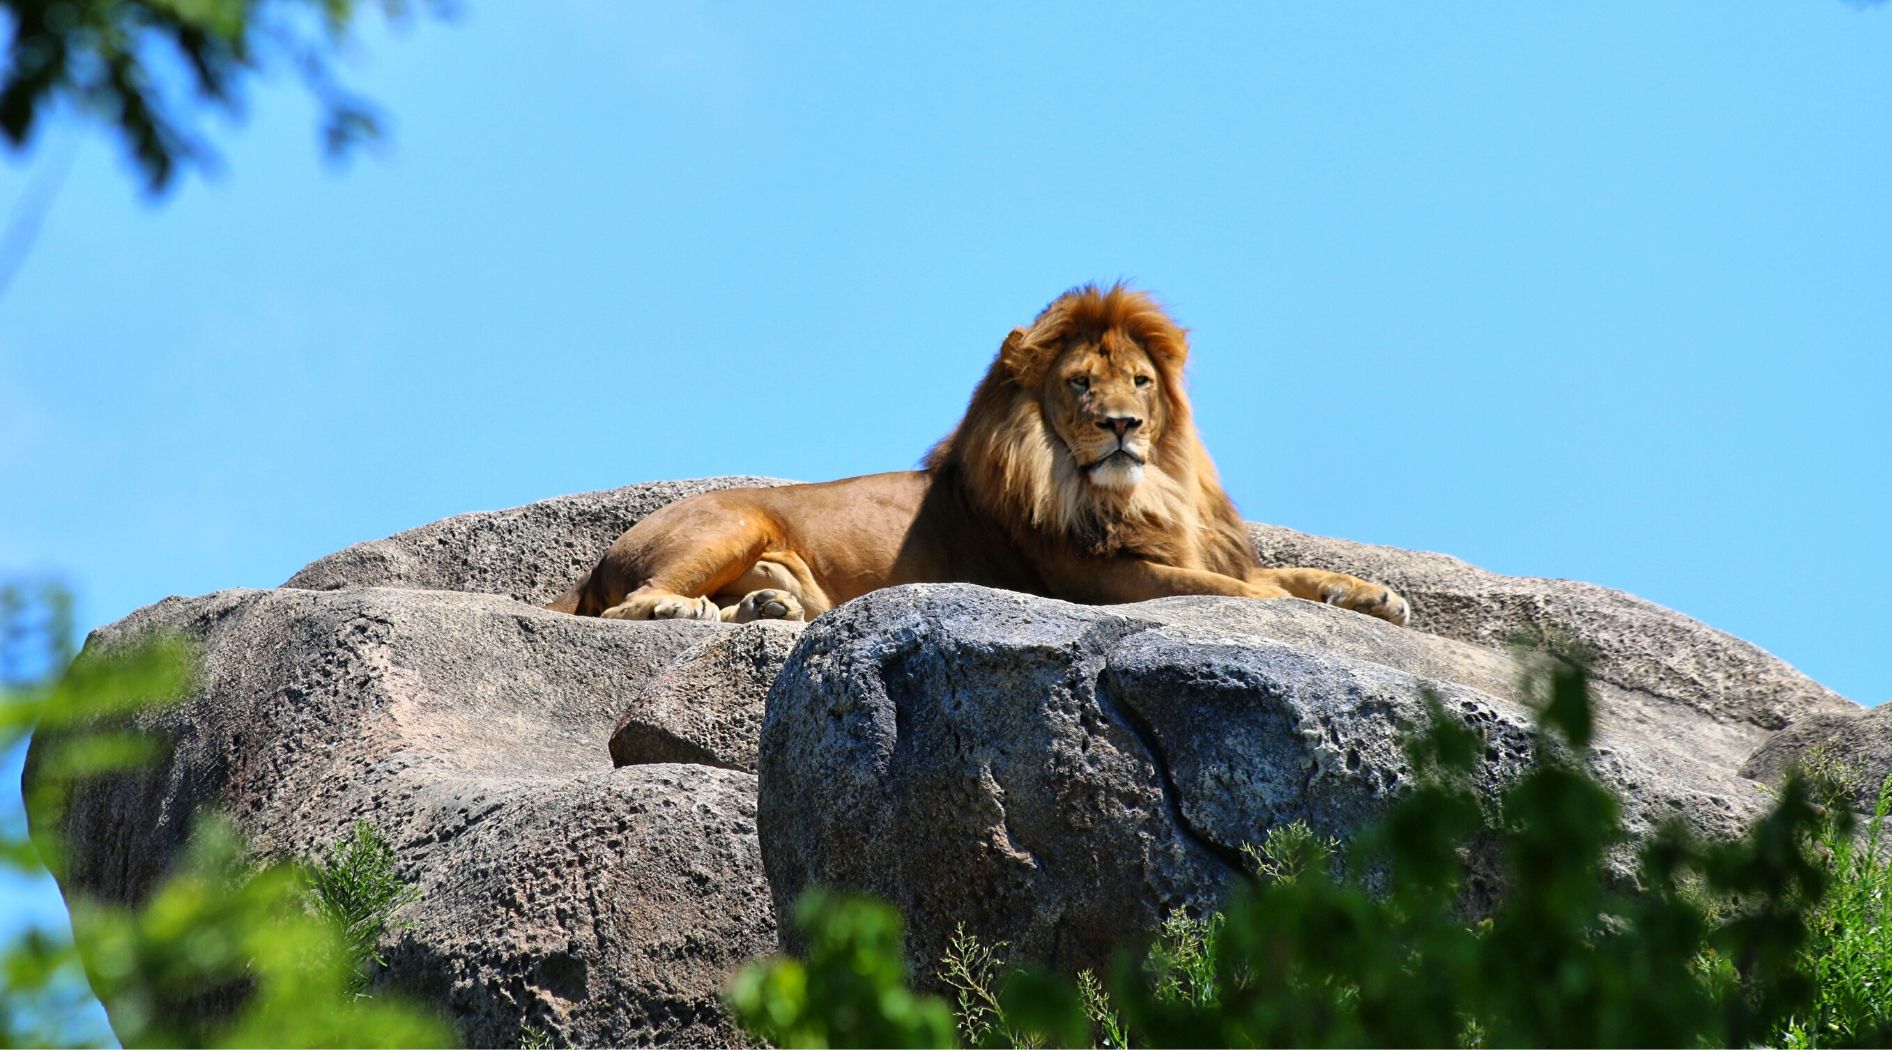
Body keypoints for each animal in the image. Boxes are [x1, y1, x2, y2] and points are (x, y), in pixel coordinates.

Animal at [548, 283, 1407, 628]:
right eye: (1080, 384)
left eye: (1140, 380)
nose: (1125, 425)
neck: (1137, 490)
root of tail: (596, 560)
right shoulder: (1102, 579)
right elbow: (1231, 589)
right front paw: (1315, 606)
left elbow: (1285, 574)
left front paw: (1373, 596)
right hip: (731, 522)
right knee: (628, 606)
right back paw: (682, 608)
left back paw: (766, 609)